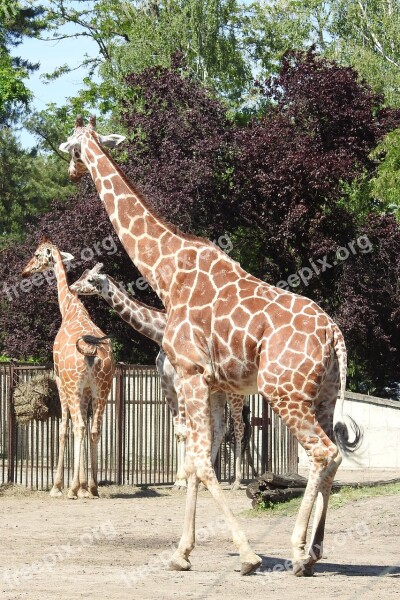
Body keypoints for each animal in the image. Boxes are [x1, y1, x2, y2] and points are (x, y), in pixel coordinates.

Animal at [21, 237, 114, 500]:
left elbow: (64, 428)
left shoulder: (61, 380)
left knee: (80, 427)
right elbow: (81, 426)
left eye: (37, 254)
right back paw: (92, 488)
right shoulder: (86, 391)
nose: (25, 271)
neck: (70, 307)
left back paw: (72, 489)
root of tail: (92, 350)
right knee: (94, 429)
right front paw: (83, 486)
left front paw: (58, 486)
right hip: (103, 388)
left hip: (73, 386)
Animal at [71, 262, 247, 488]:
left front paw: (182, 479)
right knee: (220, 427)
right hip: (218, 392)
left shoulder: (181, 383)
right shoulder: (167, 386)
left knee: (239, 426)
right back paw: (208, 479)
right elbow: (178, 430)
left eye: (91, 280)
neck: (160, 333)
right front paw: (181, 479)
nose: (73, 287)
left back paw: (236, 481)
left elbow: (186, 430)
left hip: (235, 392)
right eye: (83, 275)